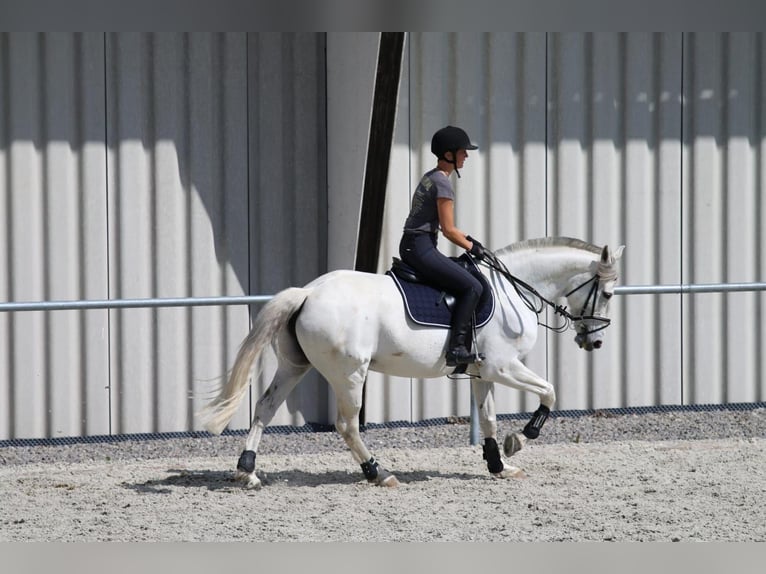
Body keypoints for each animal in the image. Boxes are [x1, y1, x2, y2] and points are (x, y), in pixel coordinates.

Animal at [201, 238, 628, 490]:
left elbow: (489, 418)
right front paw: (520, 440)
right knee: (346, 424)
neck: (513, 288)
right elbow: (550, 393)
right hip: (349, 373)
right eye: (608, 293)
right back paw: (378, 473)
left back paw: (248, 470)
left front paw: (499, 465)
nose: (595, 342)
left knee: (265, 407)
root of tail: (308, 292)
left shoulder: (482, 371)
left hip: (296, 366)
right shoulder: (503, 367)